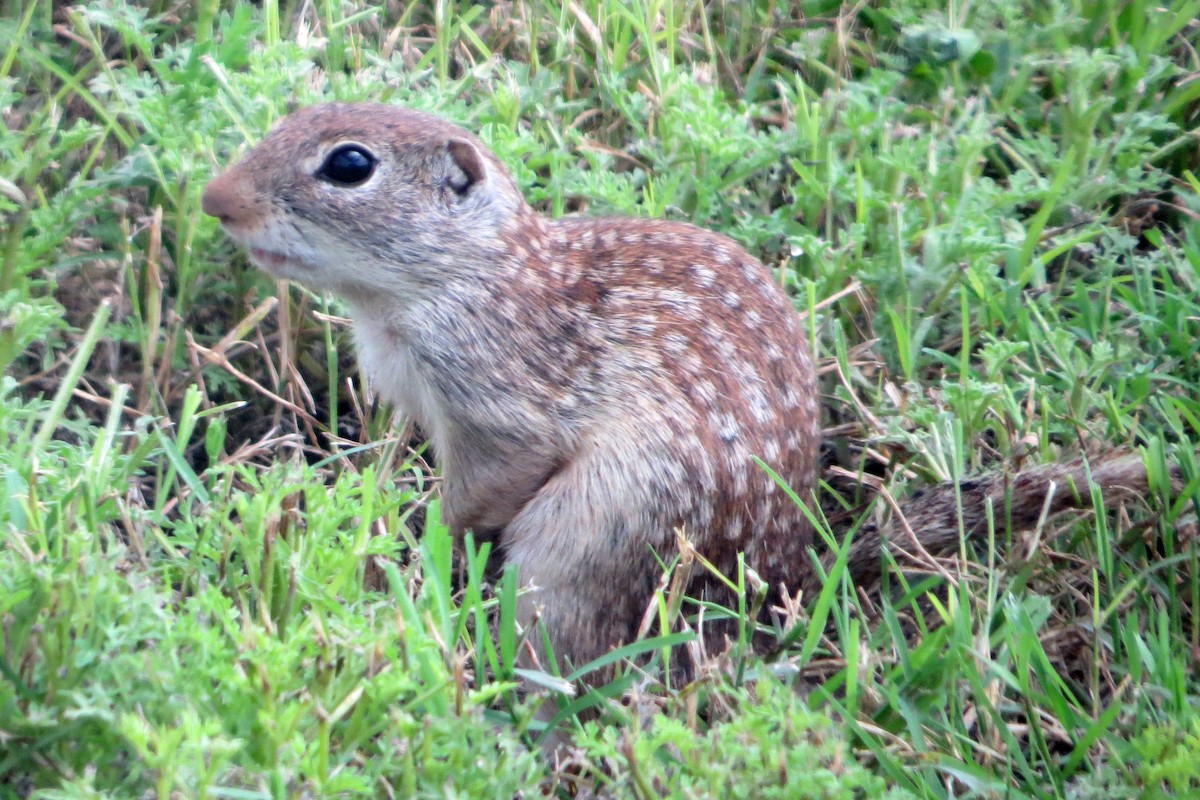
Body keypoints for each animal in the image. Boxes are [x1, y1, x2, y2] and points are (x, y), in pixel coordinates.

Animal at [203, 103, 1177, 673]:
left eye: (349, 165)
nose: (214, 200)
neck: (465, 275)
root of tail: (787, 581)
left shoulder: (500, 405)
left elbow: (486, 487)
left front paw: (421, 546)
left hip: (589, 538)